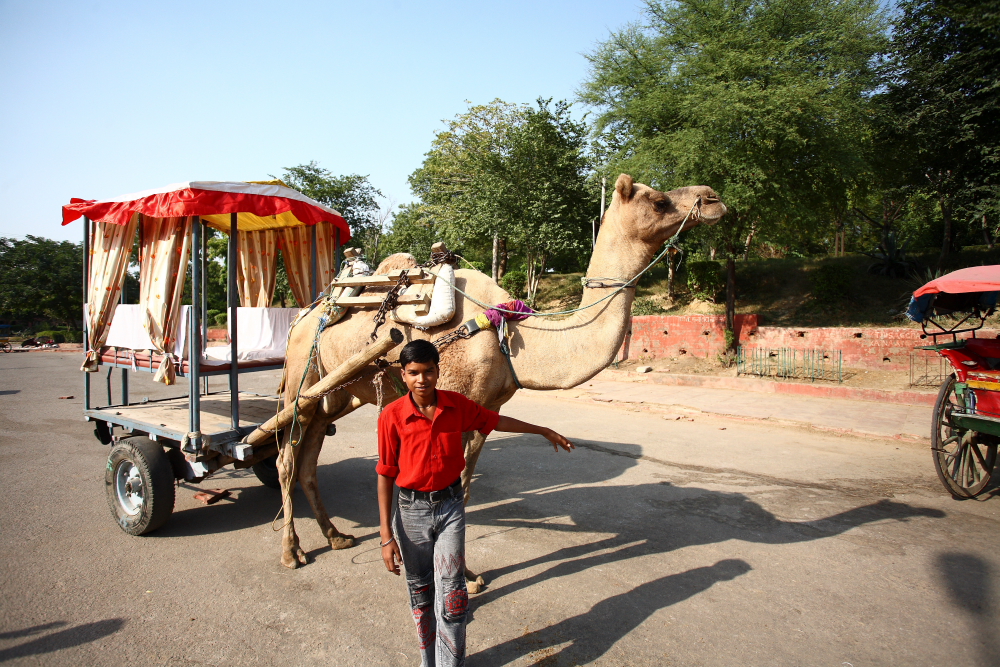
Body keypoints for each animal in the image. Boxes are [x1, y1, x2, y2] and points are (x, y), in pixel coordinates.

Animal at [274, 174, 728, 584]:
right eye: (658, 201)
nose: (713, 198)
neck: (506, 335)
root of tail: (303, 315)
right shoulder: (452, 400)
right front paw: (460, 578)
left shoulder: (483, 408)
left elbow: (464, 488)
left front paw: (468, 573)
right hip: (301, 377)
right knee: (286, 456)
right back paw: (292, 552)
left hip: (338, 393)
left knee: (309, 456)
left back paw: (336, 536)